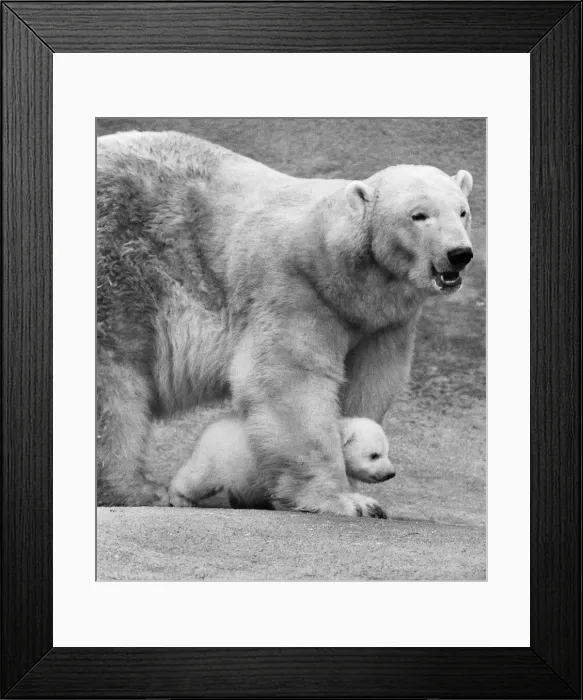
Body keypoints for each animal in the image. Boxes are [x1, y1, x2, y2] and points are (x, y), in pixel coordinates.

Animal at [168, 416, 395, 513]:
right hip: (220, 457)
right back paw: (180, 498)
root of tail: (212, 427)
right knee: (198, 478)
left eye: (387, 452)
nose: (391, 474)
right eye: (374, 455)